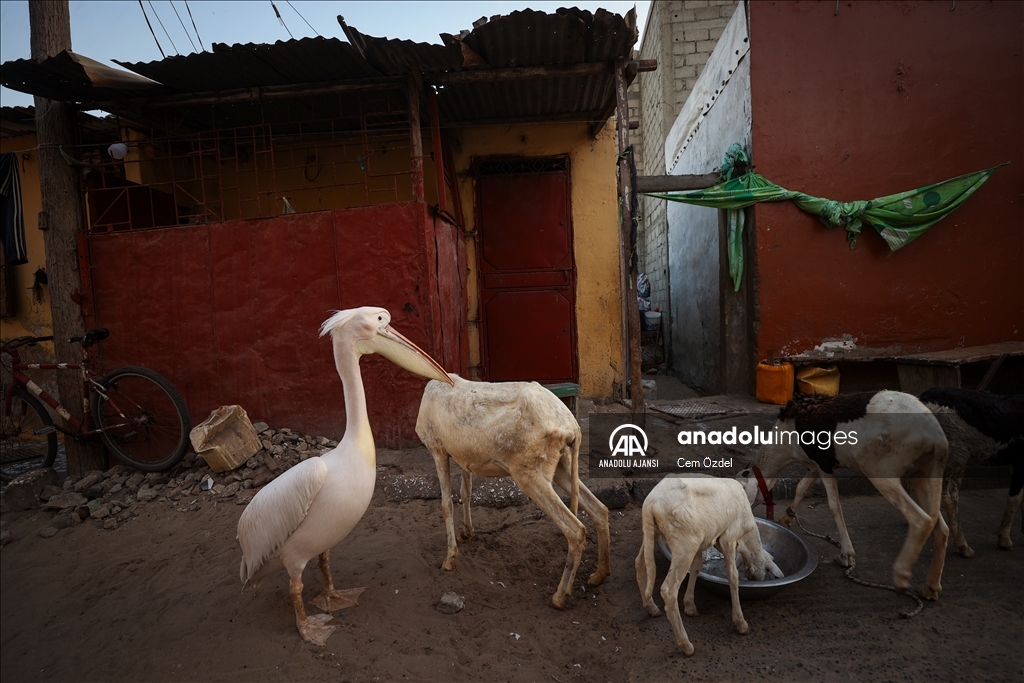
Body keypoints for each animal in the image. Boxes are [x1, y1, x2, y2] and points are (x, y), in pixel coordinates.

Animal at [413, 374, 606, 610]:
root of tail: (572, 427)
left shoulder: (437, 448)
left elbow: (446, 504)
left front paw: (449, 559)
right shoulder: (464, 456)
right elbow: (465, 492)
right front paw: (466, 533)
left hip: (528, 472)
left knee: (576, 529)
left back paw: (560, 597)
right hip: (562, 464)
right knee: (599, 509)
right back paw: (599, 575)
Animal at [630, 475, 782, 655]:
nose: (756, 579)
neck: (747, 538)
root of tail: (651, 502)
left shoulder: (703, 541)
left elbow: (696, 567)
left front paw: (690, 606)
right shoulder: (728, 539)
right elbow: (733, 577)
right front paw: (741, 623)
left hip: (653, 532)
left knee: (640, 563)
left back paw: (651, 607)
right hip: (684, 544)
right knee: (668, 591)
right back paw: (686, 645)